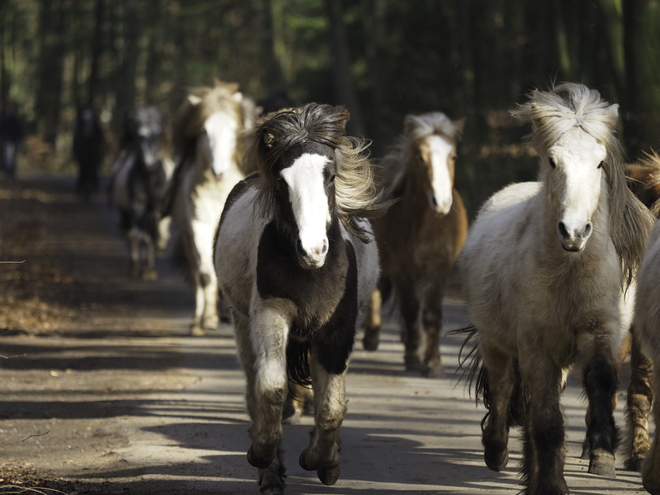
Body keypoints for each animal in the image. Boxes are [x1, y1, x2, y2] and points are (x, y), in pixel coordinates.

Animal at [164, 80, 249, 338]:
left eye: (233, 130)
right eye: (204, 131)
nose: (219, 171)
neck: (216, 189)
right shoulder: (198, 226)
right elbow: (205, 274)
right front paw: (208, 318)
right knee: (197, 272)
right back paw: (198, 320)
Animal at [360, 112, 470, 376]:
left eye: (453, 156)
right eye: (420, 157)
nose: (441, 202)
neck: (424, 225)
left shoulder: (439, 268)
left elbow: (431, 313)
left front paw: (433, 363)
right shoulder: (402, 269)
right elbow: (410, 310)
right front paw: (412, 357)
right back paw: (372, 337)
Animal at [458, 83, 656, 494]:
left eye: (599, 163)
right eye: (552, 161)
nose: (574, 231)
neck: (569, 273)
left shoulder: (601, 331)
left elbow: (601, 380)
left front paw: (602, 448)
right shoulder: (536, 347)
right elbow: (546, 420)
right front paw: (551, 484)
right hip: (497, 342)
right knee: (504, 391)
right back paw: (497, 454)